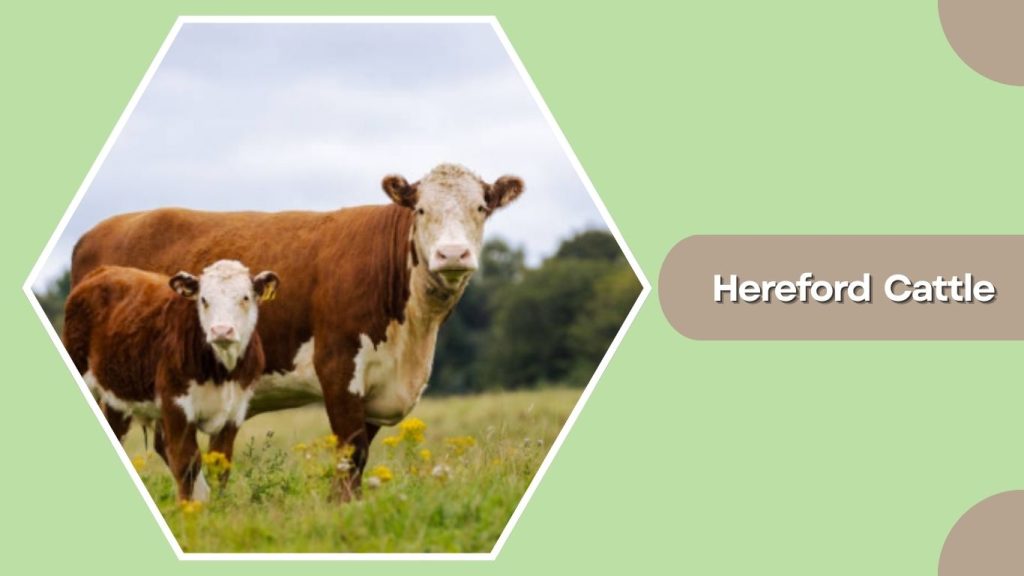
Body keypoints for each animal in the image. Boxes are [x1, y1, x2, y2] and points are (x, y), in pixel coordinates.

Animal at [62, 260, 280, 501]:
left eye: (245, 297)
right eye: (204, 299)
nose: (221, 331)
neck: (222, 372)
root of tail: (104, 270)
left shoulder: (235, 410)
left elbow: (221, 464)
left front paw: (217, 505)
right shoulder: (176, 403)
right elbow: (186, 464)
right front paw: (187, 507)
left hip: (116, 398)